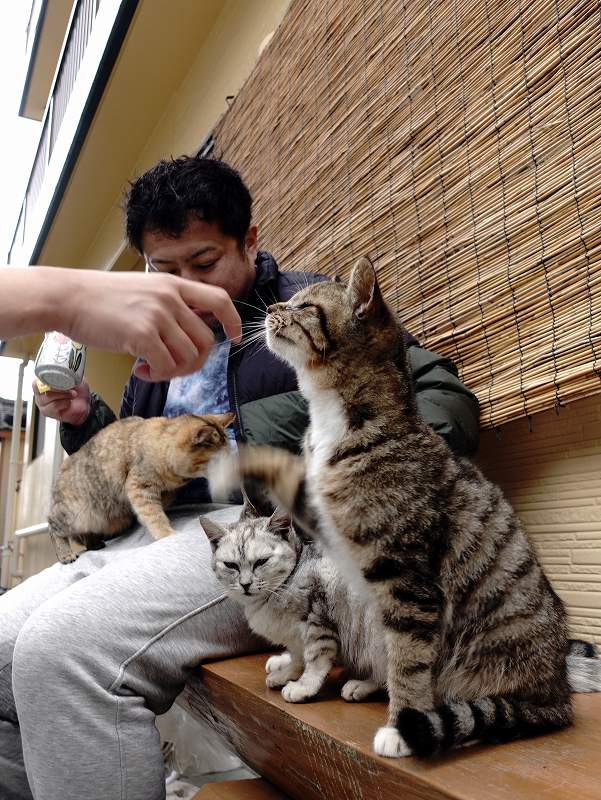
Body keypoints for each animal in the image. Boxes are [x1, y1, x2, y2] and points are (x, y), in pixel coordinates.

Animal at [47, 412, 233, 564]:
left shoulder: (165, 490)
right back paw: (65, 554)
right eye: (217, 461)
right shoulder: (140, 486)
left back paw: (94, 543)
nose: (230, 469)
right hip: (75, 513)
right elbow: (154, 515)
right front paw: (166, 533)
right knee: (53, 527)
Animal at [210, 260, 572, 760]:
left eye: (304, 305)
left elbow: (409, 662)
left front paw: (402, 725)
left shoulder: (408, 582)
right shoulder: (326, 527)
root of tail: (558, 694)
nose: (269, 308)